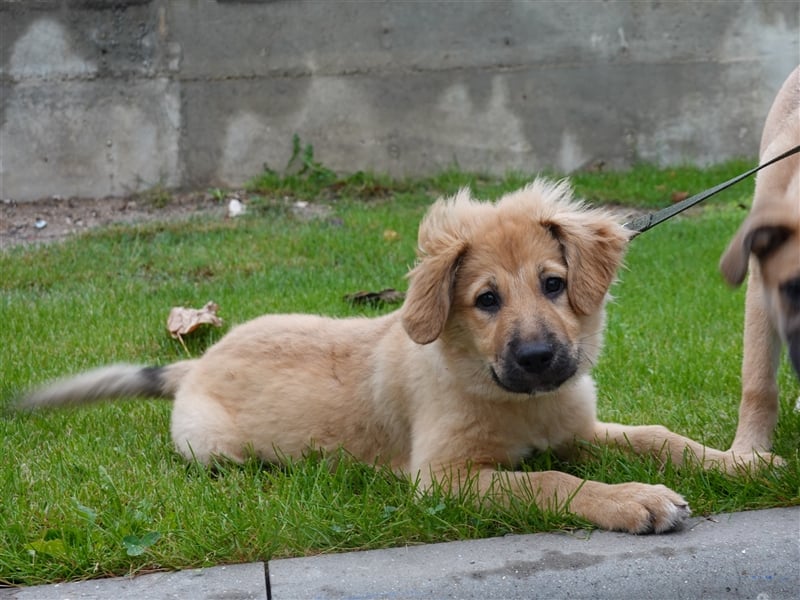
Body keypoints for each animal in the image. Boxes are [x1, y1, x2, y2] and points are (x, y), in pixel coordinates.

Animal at [20, 179, 776, 536]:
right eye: (485, 300)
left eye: (554, 284)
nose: (537, 357)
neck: (512, 399)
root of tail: (195, 364)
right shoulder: (443, 478)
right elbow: (551, 482)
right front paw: (633, 501)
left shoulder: (578, 430)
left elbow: (658, 436)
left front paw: (739, 463)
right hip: (212, 446)